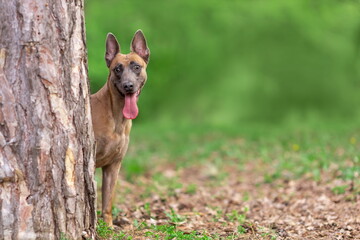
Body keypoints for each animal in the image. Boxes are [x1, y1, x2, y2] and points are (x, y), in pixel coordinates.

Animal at [91, 29, 150, 225]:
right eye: (117, 69)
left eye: (136, 67)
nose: (128, 86)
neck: (117, 118)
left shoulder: (113, 165)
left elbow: (107, 202)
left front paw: (108, 226)